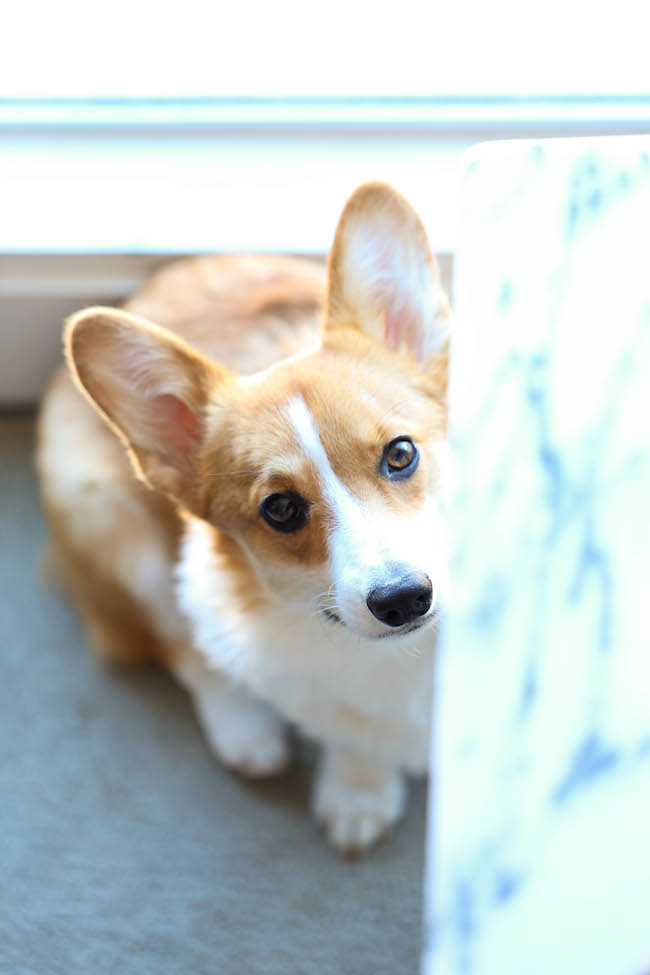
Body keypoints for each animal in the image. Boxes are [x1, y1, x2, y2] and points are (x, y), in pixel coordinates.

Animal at [36, 185, 450, 856]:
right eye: (279, 509)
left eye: (401, 454)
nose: (403, 599)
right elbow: (352, 730)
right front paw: (359, 791)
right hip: (112, 524)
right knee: (178, 642)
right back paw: (245, 732)